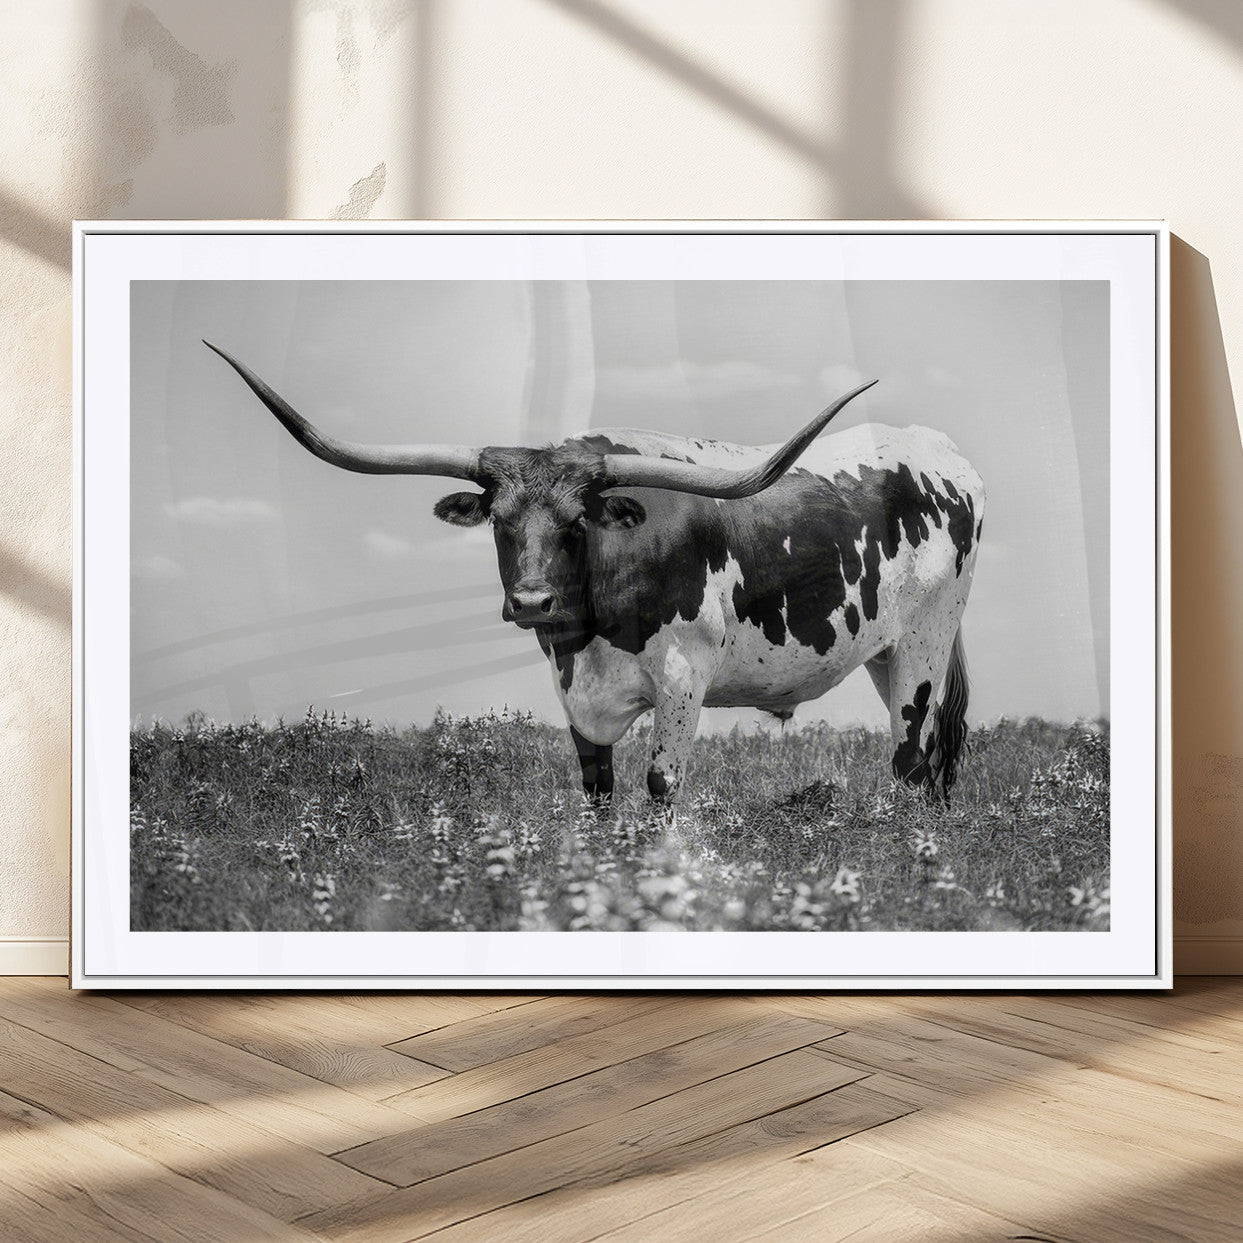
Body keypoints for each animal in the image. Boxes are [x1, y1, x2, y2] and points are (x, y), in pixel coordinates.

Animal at [206, 341, 984, 804]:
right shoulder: (573, 690)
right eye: (499, 521)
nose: (530, 600)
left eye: (576, 523)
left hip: (922, 647)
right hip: (883, 654)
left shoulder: (683, 679)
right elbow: (598, 790)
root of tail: (944, 454)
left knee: (909, 762)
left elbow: (661, 785)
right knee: (925, 766)